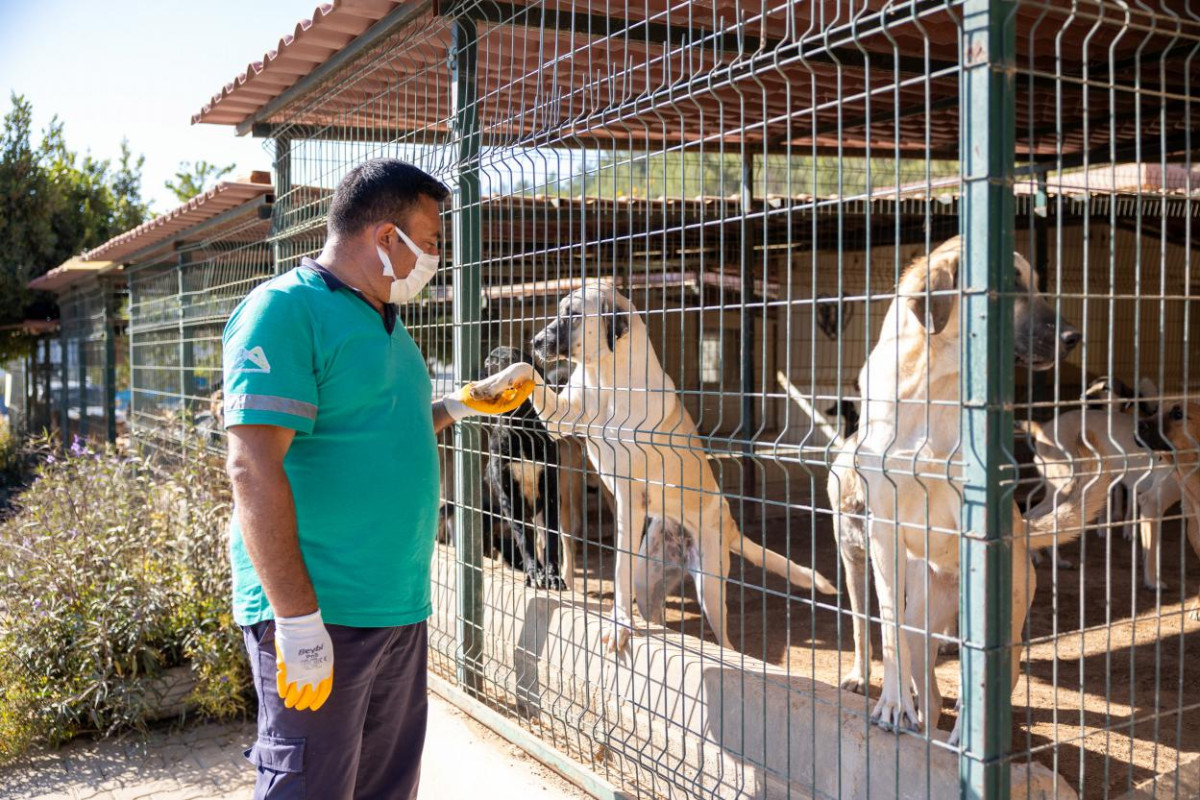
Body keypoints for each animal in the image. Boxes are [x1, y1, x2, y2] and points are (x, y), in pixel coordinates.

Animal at [482, 345, 566, 587]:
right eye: (489, 362)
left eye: (514, 359)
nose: (488, 364)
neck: (521, 429)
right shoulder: (510, 499)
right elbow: (524, 540)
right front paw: (533, 572)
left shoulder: (550, 495)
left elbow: (551, 540)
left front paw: (552, 574)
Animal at [525, 280, 835, 652]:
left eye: (572, 315)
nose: (534, 342)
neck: (607, 378)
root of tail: (729, 521)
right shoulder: (561, 419)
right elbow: (532, 381)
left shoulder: (628, 497)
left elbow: (620, 567)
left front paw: (619, 625)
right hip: (649, 580)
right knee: (655, 612)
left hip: (710, 588)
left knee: (725, 641)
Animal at [825, 236, 1104, 743]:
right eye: (1008, 282)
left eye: (1036, 284)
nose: (1074, 337)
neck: (929, 382)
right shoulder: (881, 534)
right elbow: (886, 630)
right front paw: (891, 706)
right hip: (921, 623)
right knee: (930, 689)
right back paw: (926, 724)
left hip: (1009, 616)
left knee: (995, 677)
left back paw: (969, 737)